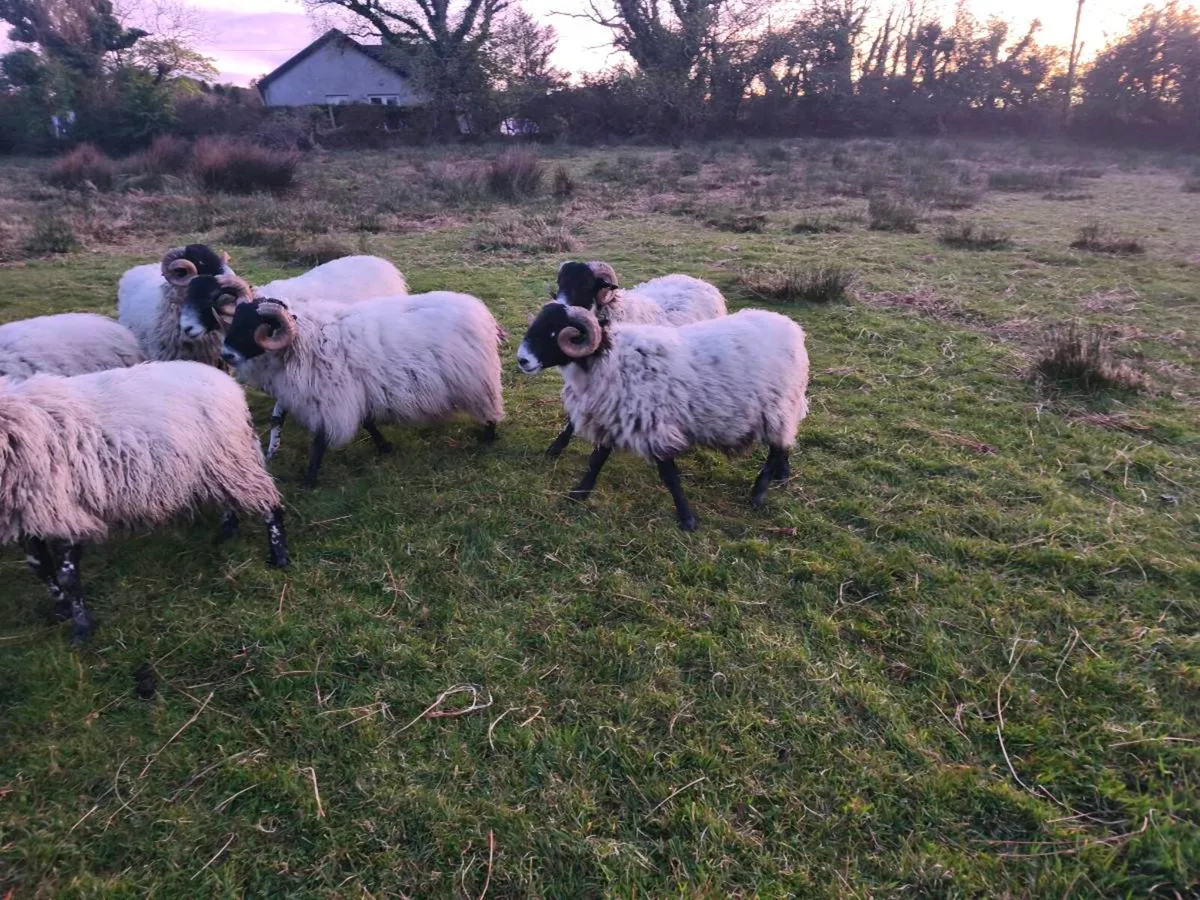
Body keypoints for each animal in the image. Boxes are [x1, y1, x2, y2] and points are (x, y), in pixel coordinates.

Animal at [0, 361, 289, 641]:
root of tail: (226, 382)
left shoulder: (64, 511)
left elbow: (67, 576)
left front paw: (81, 627)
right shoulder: (28, 517)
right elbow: (41, 568)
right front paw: (61, 610)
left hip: (234, 456)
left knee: (270, 505)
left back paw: (279, 556)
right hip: (217, 465)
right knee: (229, 498)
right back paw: (228, 531)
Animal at [220, 292, 505, 485]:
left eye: (252, 327)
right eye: (235, 321)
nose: (225, 355)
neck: (305, 340)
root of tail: (479, 310)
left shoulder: (332, 399)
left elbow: (319, 440)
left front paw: (309, 479)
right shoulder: (357, 392)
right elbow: (368, 422)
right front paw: (385, 447)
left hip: (477, 381)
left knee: (490, 410)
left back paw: (488, 439)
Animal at [516, 302, 809, 531]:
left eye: (553, 332)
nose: (522, 360)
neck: (608, 358)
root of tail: (793, 328)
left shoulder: (653, 423)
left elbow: (669, 475)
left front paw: (687, 519)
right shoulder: (615, 417)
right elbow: (596, 460)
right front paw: (579, 493)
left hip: (777, 407)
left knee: (776, 447)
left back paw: (758, 493)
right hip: (784, 407)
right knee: (784, 442)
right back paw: (783, 474)